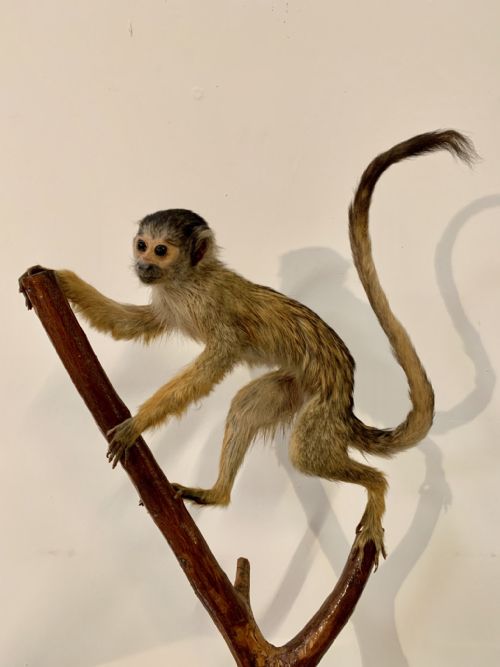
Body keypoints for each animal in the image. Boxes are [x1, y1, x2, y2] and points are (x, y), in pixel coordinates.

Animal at [55, 130, 476, 567]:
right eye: (141, 244)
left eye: (160, 250)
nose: (143, 265)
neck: (187, 279)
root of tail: (345, 398)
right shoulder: (168, 303)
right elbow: (135, 325)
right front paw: (57, 279)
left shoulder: (212, 307)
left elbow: (215, 362)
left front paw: (137, 423)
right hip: (298, 389)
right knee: (246, 405)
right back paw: (217, 494)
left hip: (322, 408)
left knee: (305, 453)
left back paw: (375, 487)